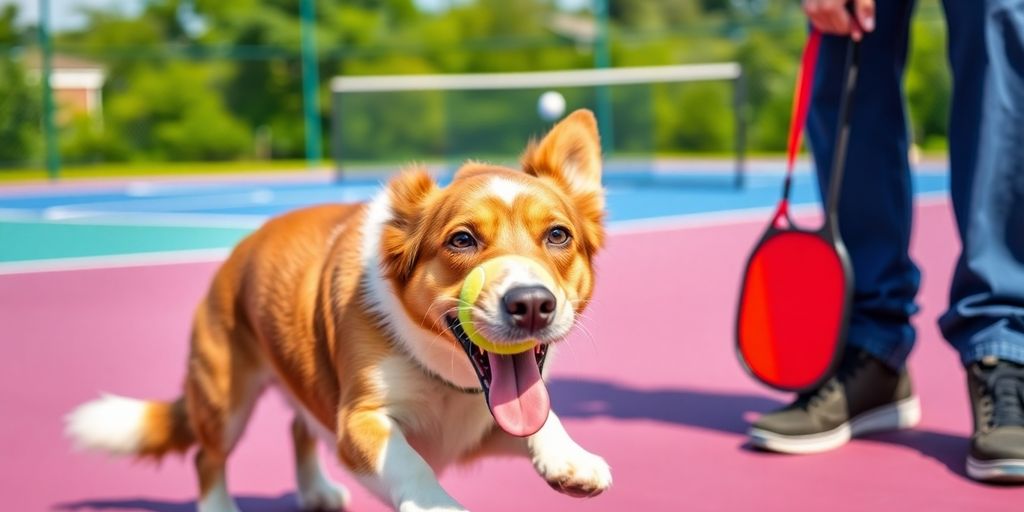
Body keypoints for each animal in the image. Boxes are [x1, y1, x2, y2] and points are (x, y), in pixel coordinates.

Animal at [68, 110, 610, 509]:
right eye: (462, 239)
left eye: (558, 235)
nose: (532, 304)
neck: (450, 381)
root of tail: (242, 248)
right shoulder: (359, 423)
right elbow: (413, 467)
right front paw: (442, 506)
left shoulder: (484, 428)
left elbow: (544, 417)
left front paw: (570, 458)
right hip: (224, 401)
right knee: (207, 458)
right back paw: (220, 506)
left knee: (298, 425)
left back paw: (315, 490)